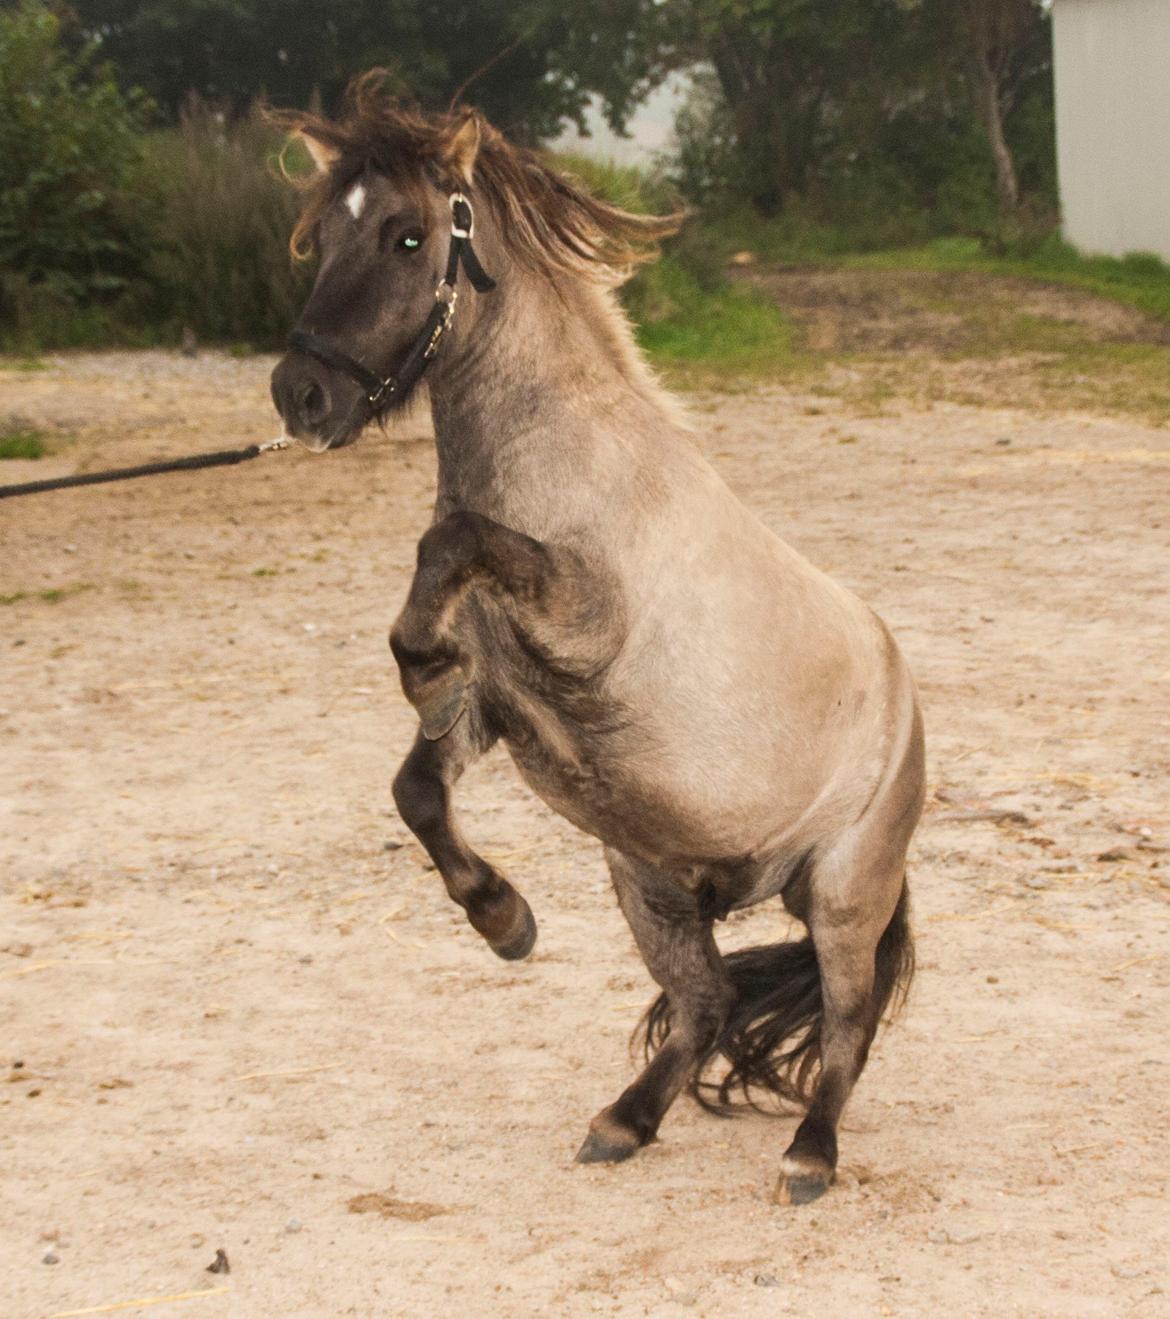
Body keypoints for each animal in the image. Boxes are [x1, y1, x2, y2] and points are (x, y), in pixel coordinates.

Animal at [269, 76, 924, 1206]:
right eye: (324, 237)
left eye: (406, 236)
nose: (299, 395)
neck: (560, 454)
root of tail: (908, 711)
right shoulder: (505, 704)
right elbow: (417, 787)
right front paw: (503, 919)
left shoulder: (582, 617)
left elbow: (451, 541)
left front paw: (416, 658)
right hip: (650, 881)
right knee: (708, 1000)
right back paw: (625, 1119)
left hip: (845, 890)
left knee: (847, 1018)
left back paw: (809, 1154)